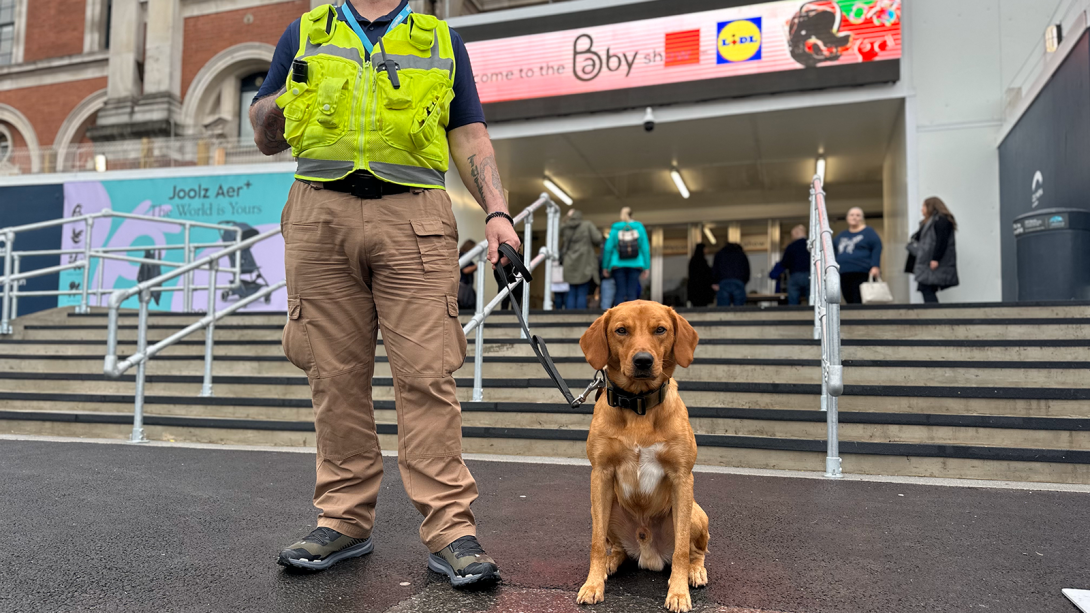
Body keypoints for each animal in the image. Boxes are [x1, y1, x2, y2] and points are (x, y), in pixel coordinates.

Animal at [575, 301, 710, 610]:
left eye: (660, 329)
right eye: (621, 330)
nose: (643, 361)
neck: (638, 405)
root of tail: (649, 554)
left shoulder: (682, 477)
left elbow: (682, 549)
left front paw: (678, 592)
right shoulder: (600, 474)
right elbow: (596, 543)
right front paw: (593, 584)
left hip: (696, 512)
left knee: (694, 551)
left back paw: (694, 571)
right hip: (606, 507)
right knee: (617, 547)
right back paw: (611, 562)